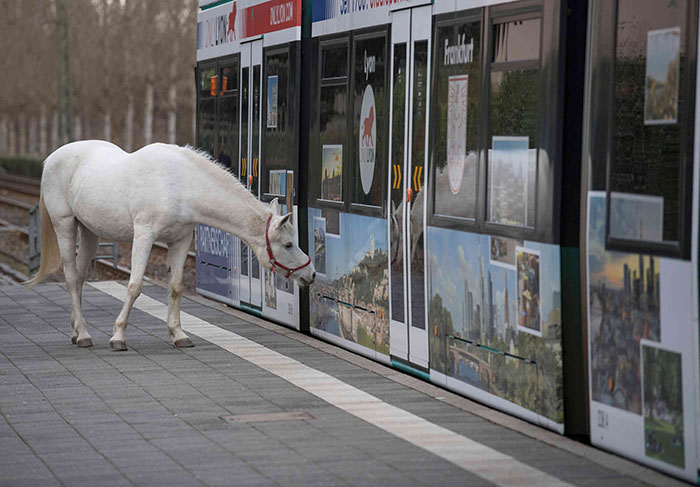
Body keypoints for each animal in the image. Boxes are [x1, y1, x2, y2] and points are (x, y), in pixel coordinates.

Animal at [27, 140, 316, 350]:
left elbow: (175, 287)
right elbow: (134, 286)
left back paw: (77, 331)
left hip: (89, 232)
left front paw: (178, 335)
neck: (181, 184)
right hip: (65, 225)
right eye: (288, 244)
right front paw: (118, 336)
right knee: (71, 278)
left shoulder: (180, 240)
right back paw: (85, 334)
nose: (310, 274)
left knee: (80, 277)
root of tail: (52, 158)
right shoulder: (144, 235)